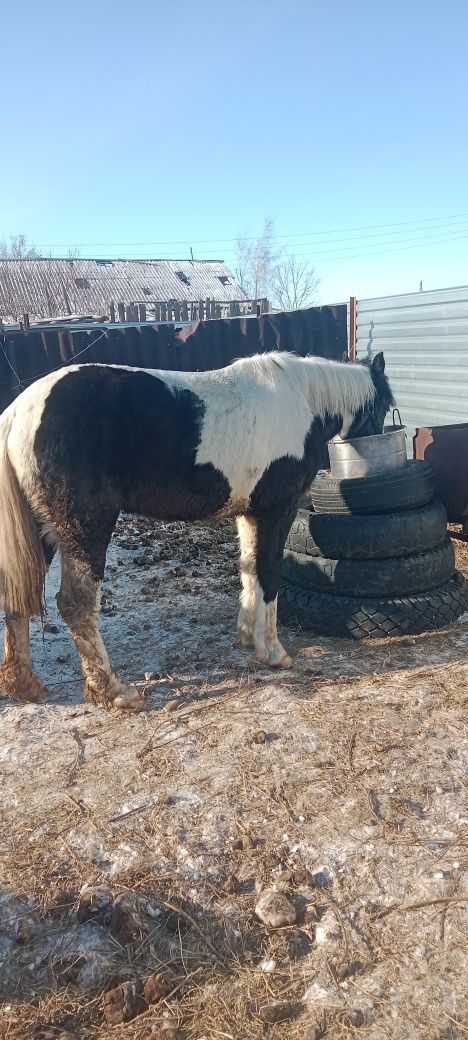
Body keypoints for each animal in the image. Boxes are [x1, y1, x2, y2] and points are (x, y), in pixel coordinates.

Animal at [0, 349, 393, 707]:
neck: (300, 400)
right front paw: (273, 651)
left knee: (16, 596)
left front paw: (247, 637)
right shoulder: (277, 510)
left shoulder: (249, 513)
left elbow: (249, 569)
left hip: (42, 533)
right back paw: (115, 691)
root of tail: (18, 413)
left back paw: (25, 686)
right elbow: (269, 573)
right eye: (385, 407)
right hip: (85, 528)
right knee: (76, 605)